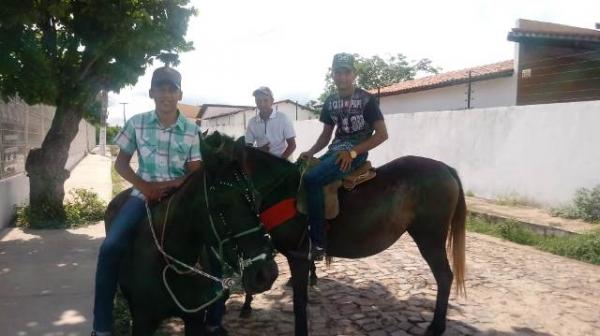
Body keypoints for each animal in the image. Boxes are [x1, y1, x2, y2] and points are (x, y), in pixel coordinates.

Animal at [105, 137, 278, 336]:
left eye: (257, 198)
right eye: (222, 203)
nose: (267, 274)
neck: (171, 263)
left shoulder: (194, 320)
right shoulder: (143, 322)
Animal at [213, 133, 466, 336]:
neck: (281, 192)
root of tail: (446, 169)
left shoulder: (297, 256)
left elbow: (298, 302)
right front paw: (246, 305)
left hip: (430, 238)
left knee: (444, 277)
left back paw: (436, 327)